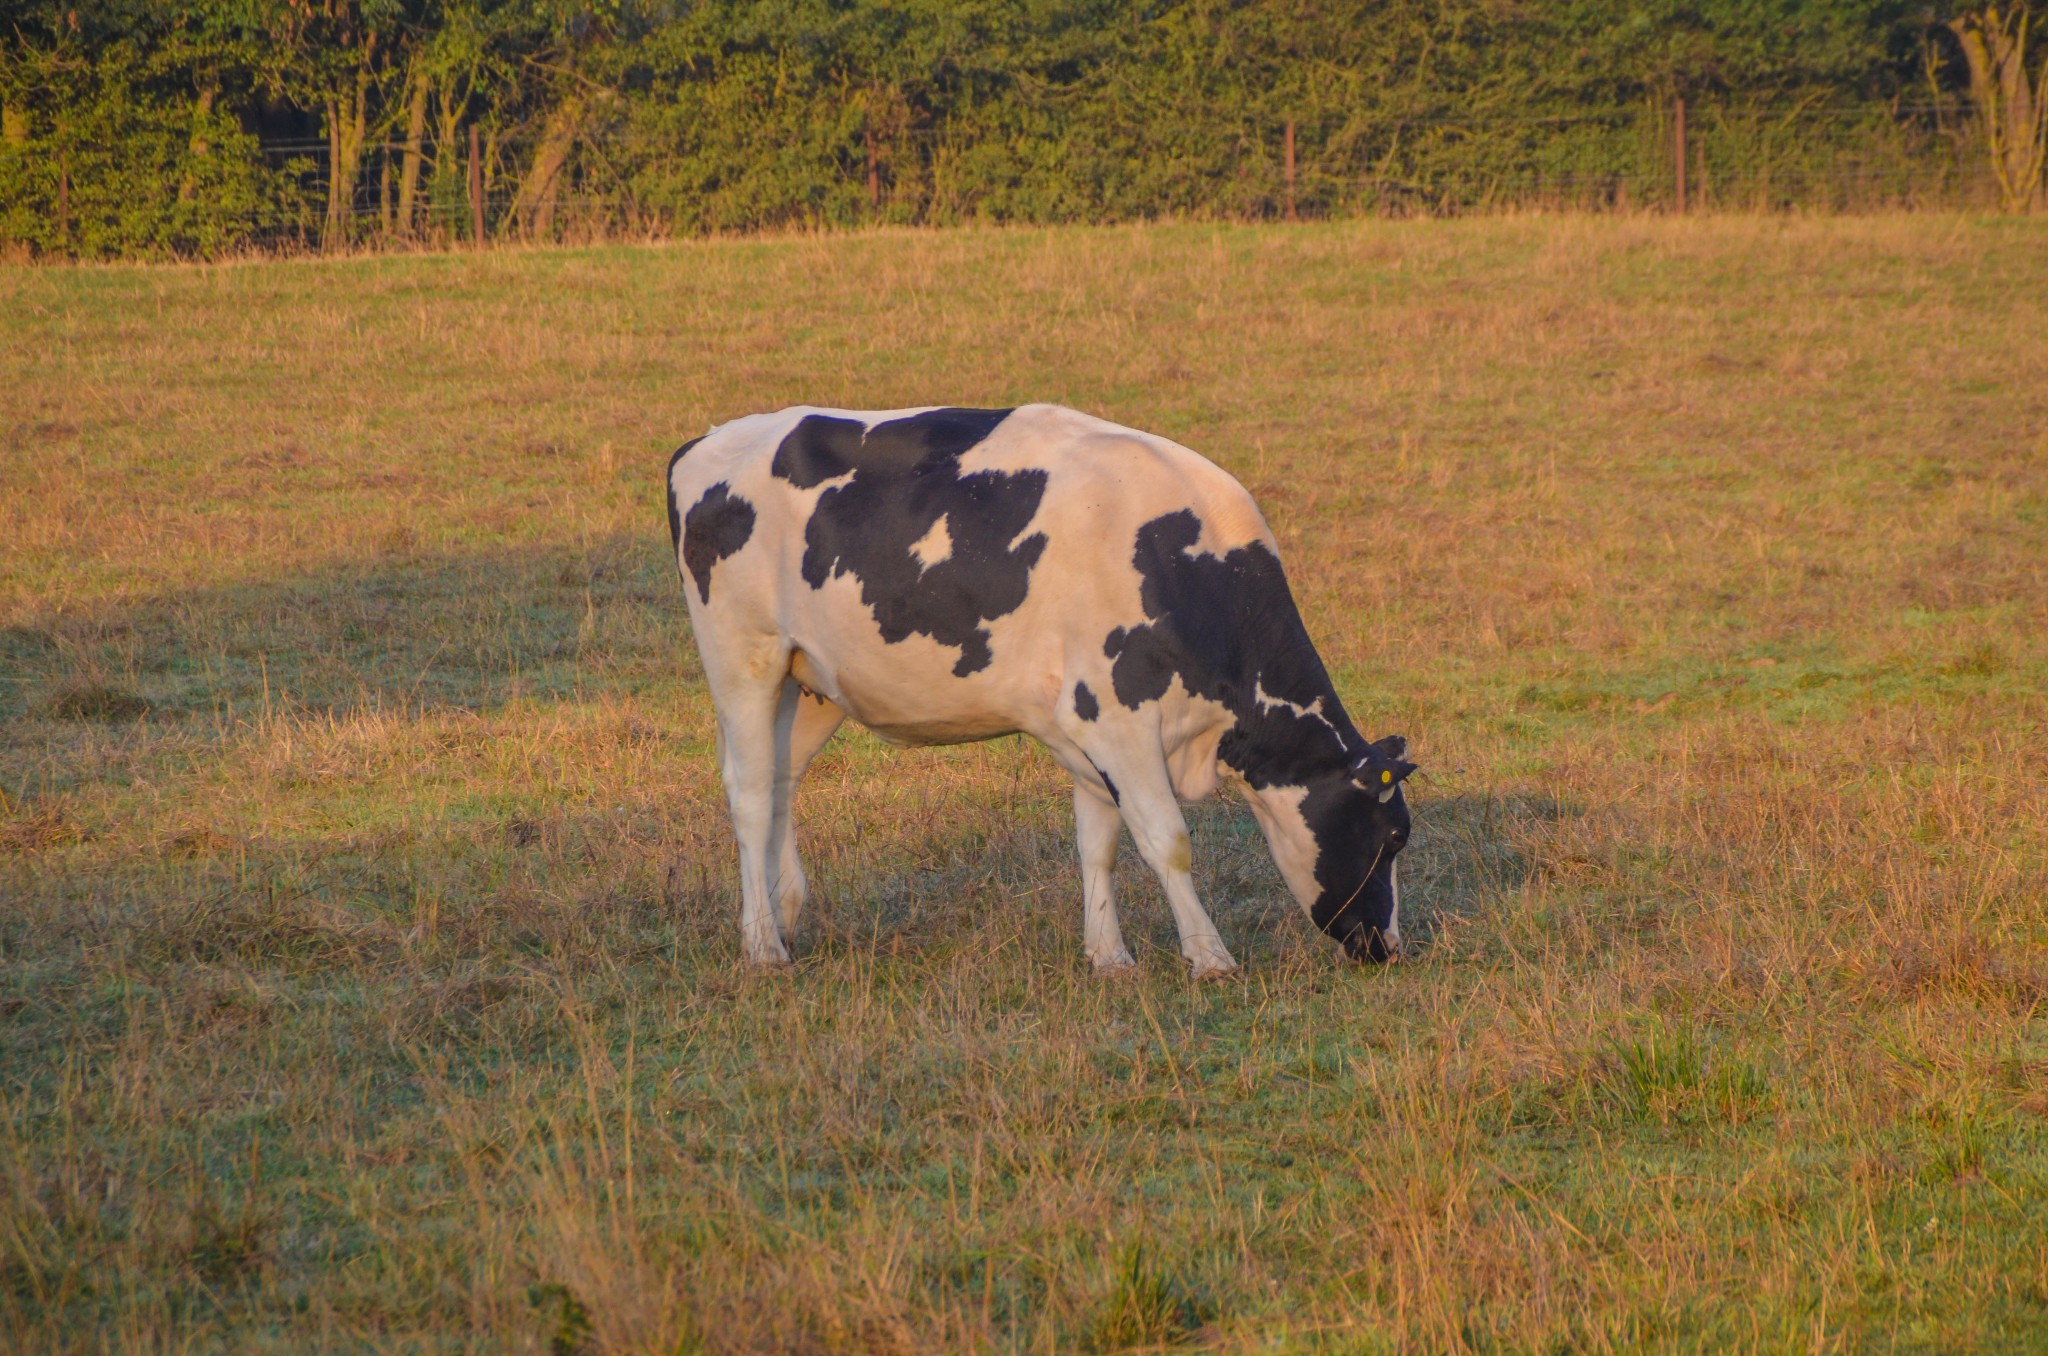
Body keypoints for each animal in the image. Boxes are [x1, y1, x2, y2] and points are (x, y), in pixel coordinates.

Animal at [663, 403, 1417, 979]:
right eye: (1393, 837)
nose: (1388, 949)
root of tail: (702, 444)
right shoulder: (1117, 717)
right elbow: (1167, 839)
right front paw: (1209, 958)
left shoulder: (1085, 730)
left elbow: (1099, 843)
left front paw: (1110, 957)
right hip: (744, 658)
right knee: (750, 793)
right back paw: (764, 947)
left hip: (811, 680)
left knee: (781, 780)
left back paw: (784, 913)